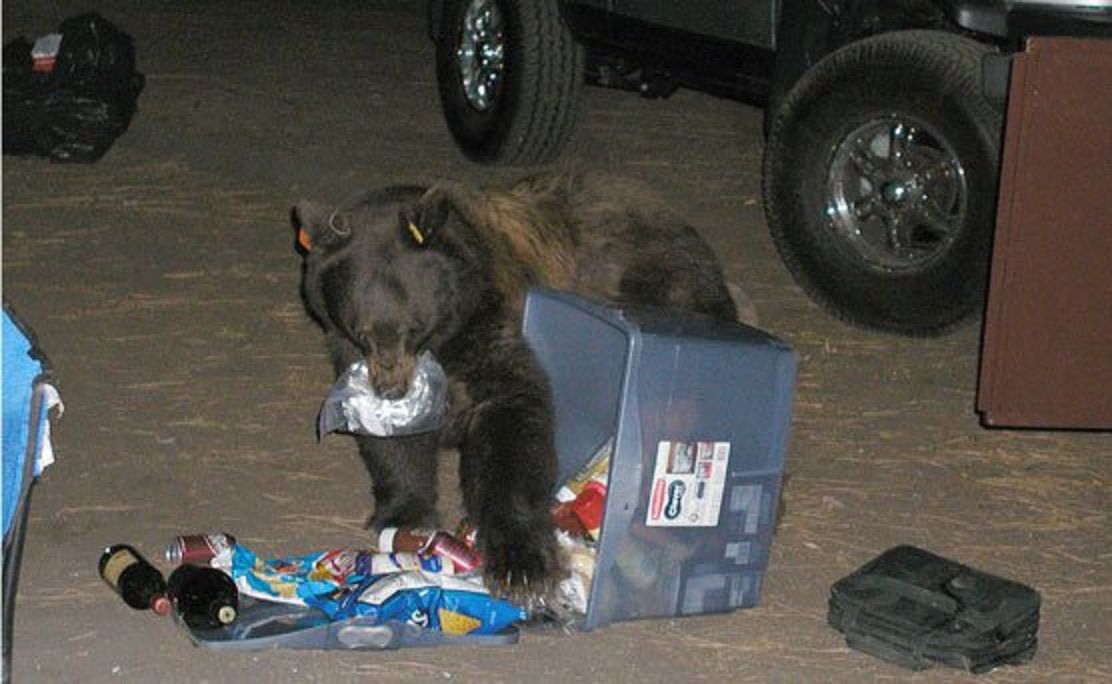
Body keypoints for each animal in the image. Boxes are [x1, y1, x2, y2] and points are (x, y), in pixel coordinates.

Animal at [293, 170, 748, 604]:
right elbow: (392, 443)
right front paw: (405, 516)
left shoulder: (490, 326)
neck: (447, 339)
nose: (392, 388)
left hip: (666, 282)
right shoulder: (349, 350)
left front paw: (521, 565)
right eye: (362, 330)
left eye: (414, 327)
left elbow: (512, 426)